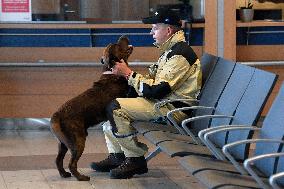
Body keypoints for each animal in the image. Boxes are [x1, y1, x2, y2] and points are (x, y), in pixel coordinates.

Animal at [50, 36, 134, 181]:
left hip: (63, 142)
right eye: (118, 44)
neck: (112, 71)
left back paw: (64, 174)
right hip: (78, 140)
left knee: (58, 160)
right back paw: (81, 177)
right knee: (72, 163)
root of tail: (57, 113)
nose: (123, 36)